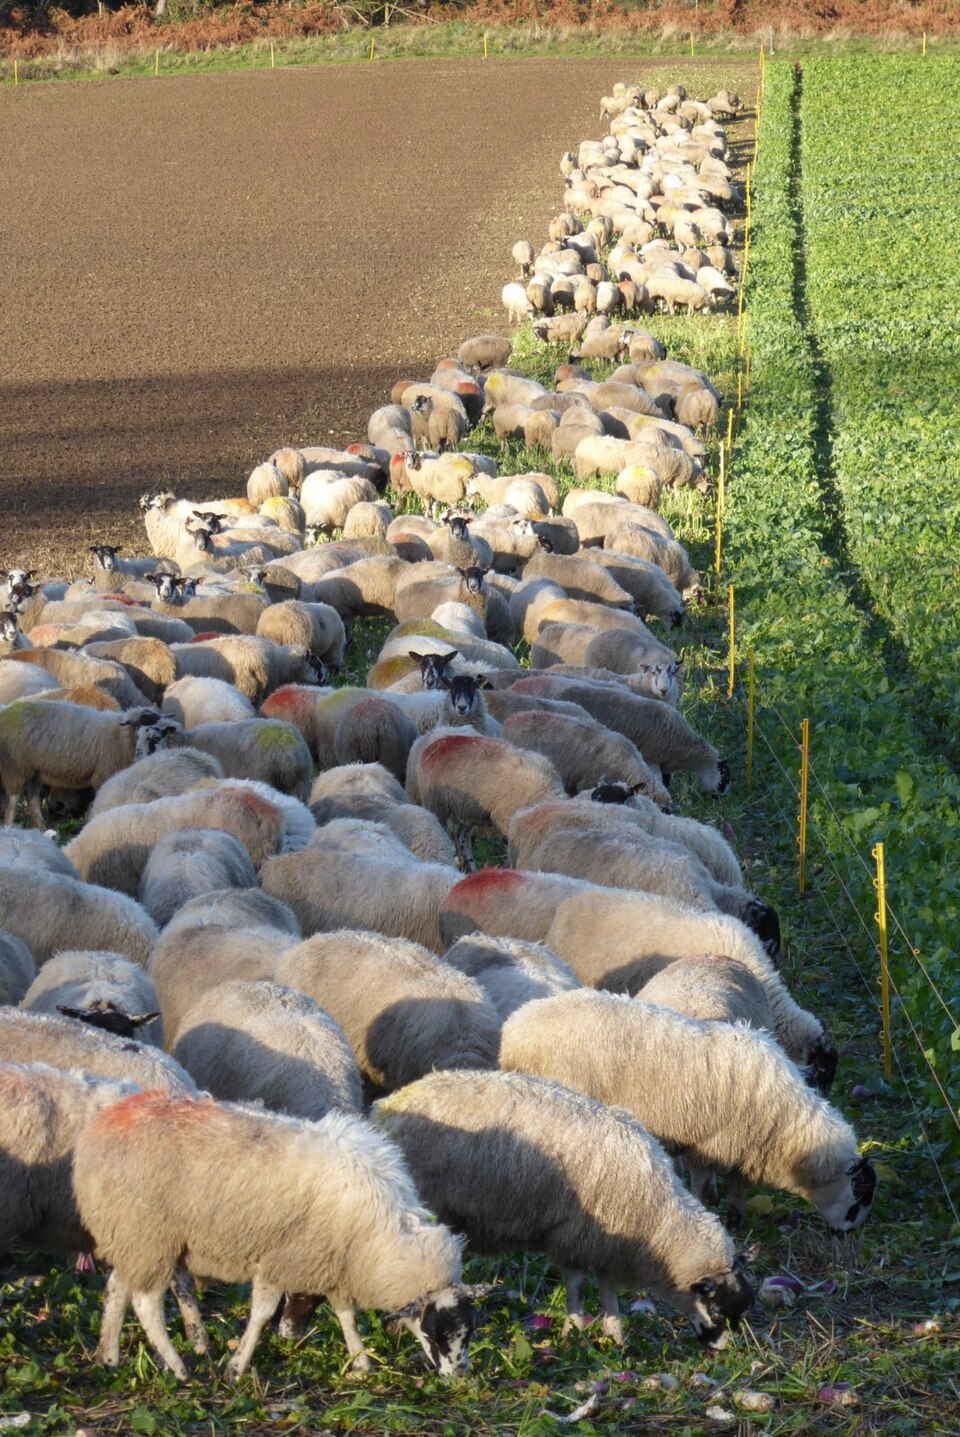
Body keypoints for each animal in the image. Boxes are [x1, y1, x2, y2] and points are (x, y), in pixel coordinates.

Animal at [73, 1091, 477, 1379]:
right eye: (436, 1332)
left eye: (468, 1333)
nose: (458, 1377)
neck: (382, 1235)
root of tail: (98, 1128)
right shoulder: (281, 1258)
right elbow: (263, 1314)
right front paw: (237, 1368)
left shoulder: (332, 1262)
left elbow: (345, 1313)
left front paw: (360, 1362)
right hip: (150, 1235)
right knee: (145, 1303)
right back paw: (177, 1368)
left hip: (131, 1236)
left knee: (117, 1288)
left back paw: (108, 1357)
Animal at [374, 1070, 754, 1347]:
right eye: (718, 1313)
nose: (722, 1350)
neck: (660, 1218)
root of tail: (387, 1105)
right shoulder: (575, 1236)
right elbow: (576, 1285)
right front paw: (574, 1330)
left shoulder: (611, 1246)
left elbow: (607, 1289)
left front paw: (614, 1334)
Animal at [500, 991, 873, 1232]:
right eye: (858, 1196)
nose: (850, 1235)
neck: (787, 1127)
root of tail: (516, 1025)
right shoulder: (708, 1144)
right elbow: (700, 1182)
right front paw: (708, 1208)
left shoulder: (741, 1149)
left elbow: (737, 1187)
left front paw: (735, 1218)